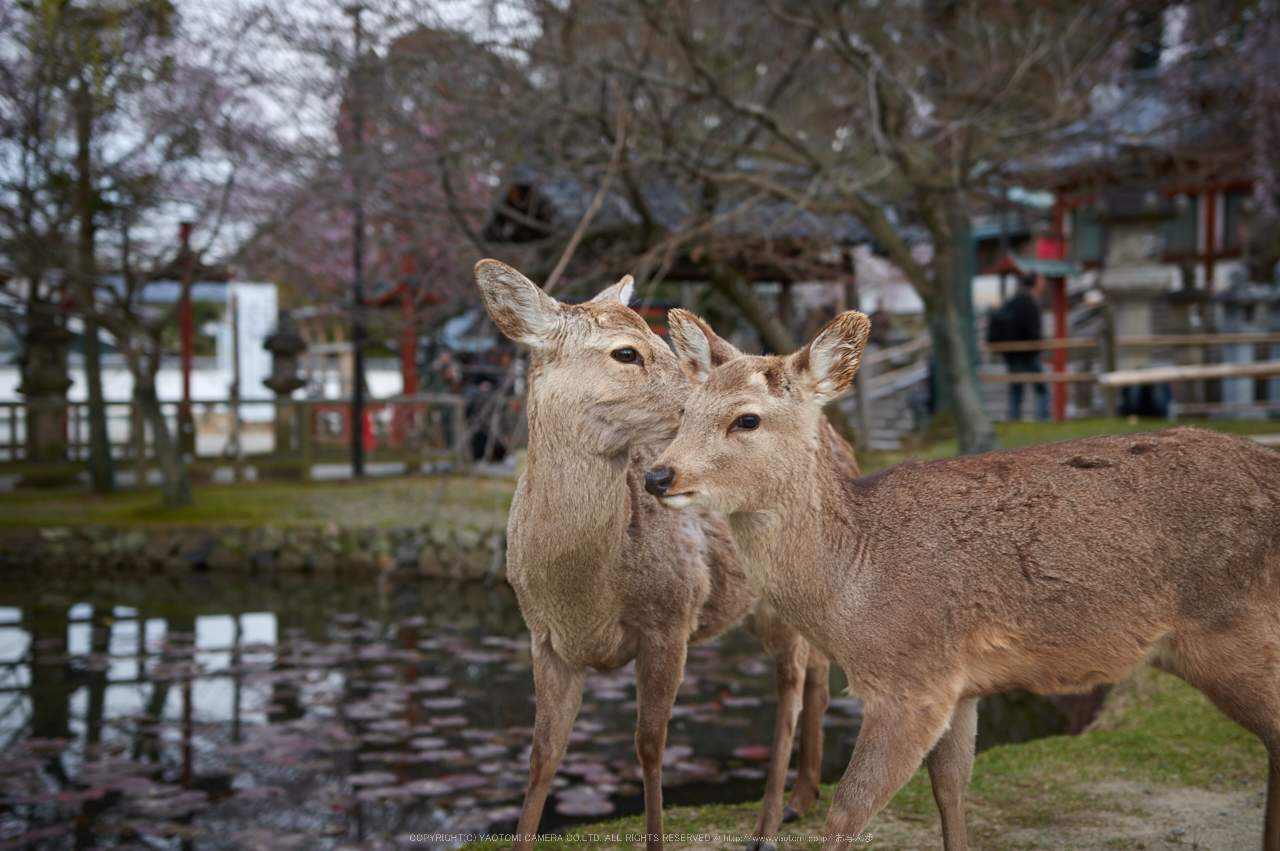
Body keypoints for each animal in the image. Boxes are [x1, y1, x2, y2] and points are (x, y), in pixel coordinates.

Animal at [471, 261, 839, 849]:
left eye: (665, 341)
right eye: (626, 352)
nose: (707, 406)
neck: (583, 591)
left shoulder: (671, 617)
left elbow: (650, 744)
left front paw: (656, 838)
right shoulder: (542, 636)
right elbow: (542, 756)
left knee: (794, 681)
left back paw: (767, 823)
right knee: (819, 670)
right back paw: (801, 798)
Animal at [655, 308, 1280, 849]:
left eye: (747, 419)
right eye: (684, 412)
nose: (658, 474)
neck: (855, 587)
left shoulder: (912, 680)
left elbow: (846, 813)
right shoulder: (957, 686)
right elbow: (951, 792)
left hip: (1231, 626)